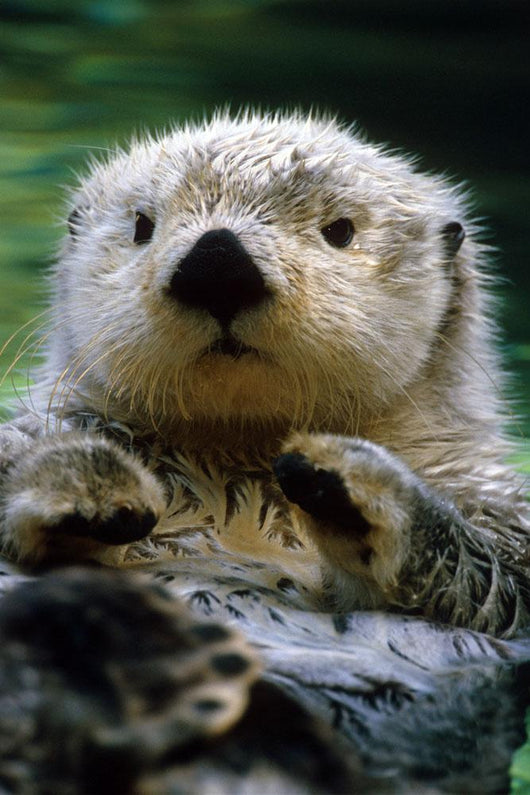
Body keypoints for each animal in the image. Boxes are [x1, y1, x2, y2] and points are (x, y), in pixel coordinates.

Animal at [0, 111, 529, 792]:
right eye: (143, 225)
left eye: (340, 229)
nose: (217, 261)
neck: (238, 471)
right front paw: (85, 478)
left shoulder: (499, 512)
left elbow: (492, 579)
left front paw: (352, 480)